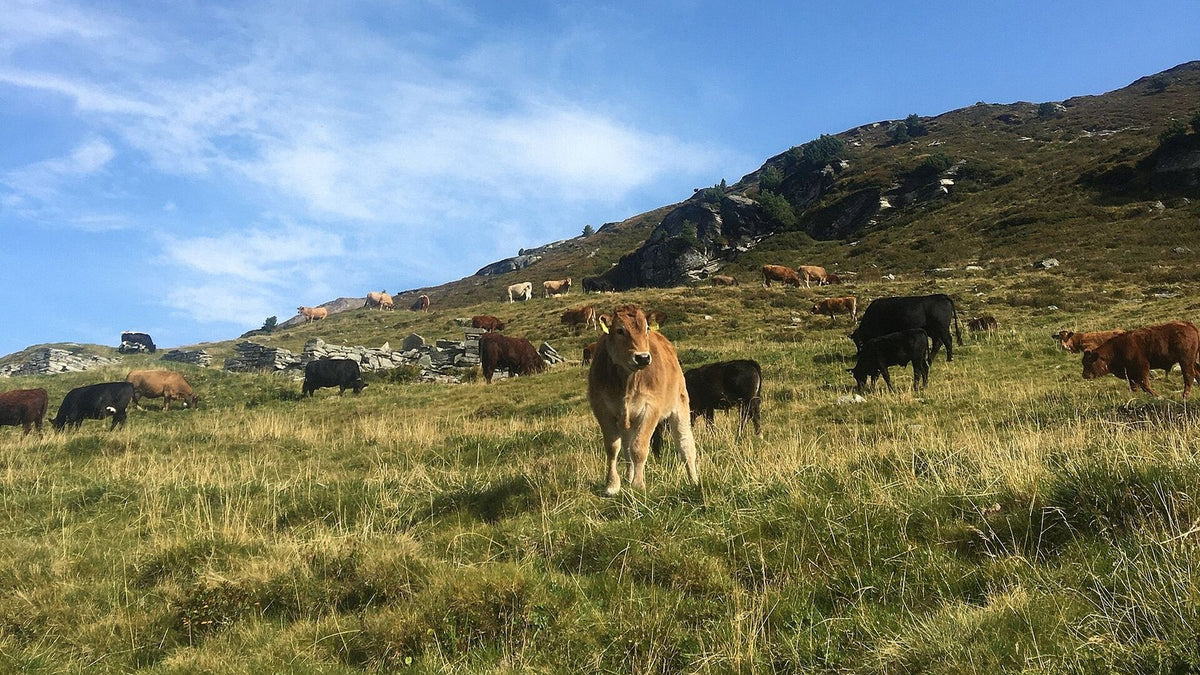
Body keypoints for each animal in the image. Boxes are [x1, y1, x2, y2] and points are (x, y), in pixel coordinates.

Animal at [587, 304, 698, 495]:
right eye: (619, 330)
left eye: (646, 328)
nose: (643, 357)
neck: (627, 381)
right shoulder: (603, 409)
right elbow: (613, 448)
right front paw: (612, 484)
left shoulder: (650, 409)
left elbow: (639, 448)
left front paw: (638, 485)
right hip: (628, 421)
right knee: (626, 448)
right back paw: (628, 476)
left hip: (680, 404)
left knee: (684, 445)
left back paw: (694, 481)